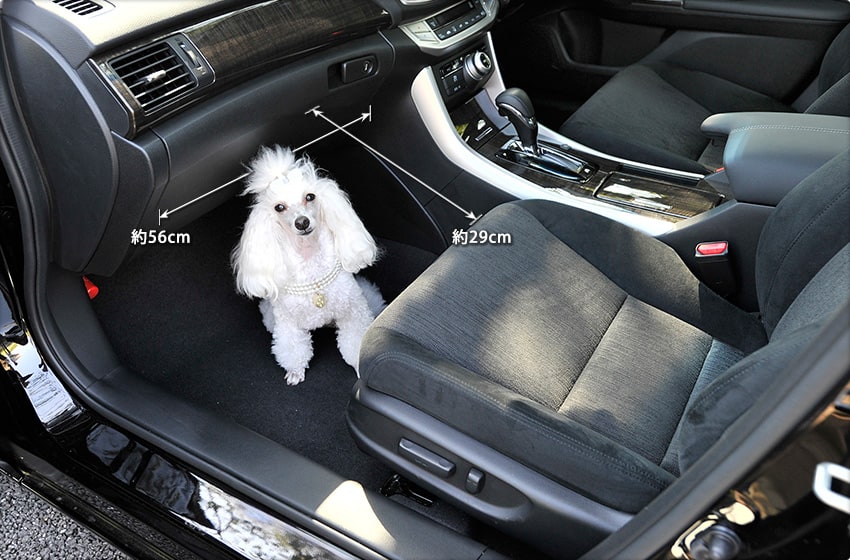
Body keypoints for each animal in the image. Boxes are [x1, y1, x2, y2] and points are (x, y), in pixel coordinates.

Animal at [231, 146, 385, 385]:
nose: (302, 222)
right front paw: (295, 372)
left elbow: (355, 341)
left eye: (310, 197)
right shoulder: (288, 324)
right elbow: (293, 349)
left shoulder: (352, 312)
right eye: (279, 207)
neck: (310, 259)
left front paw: (360, 366)